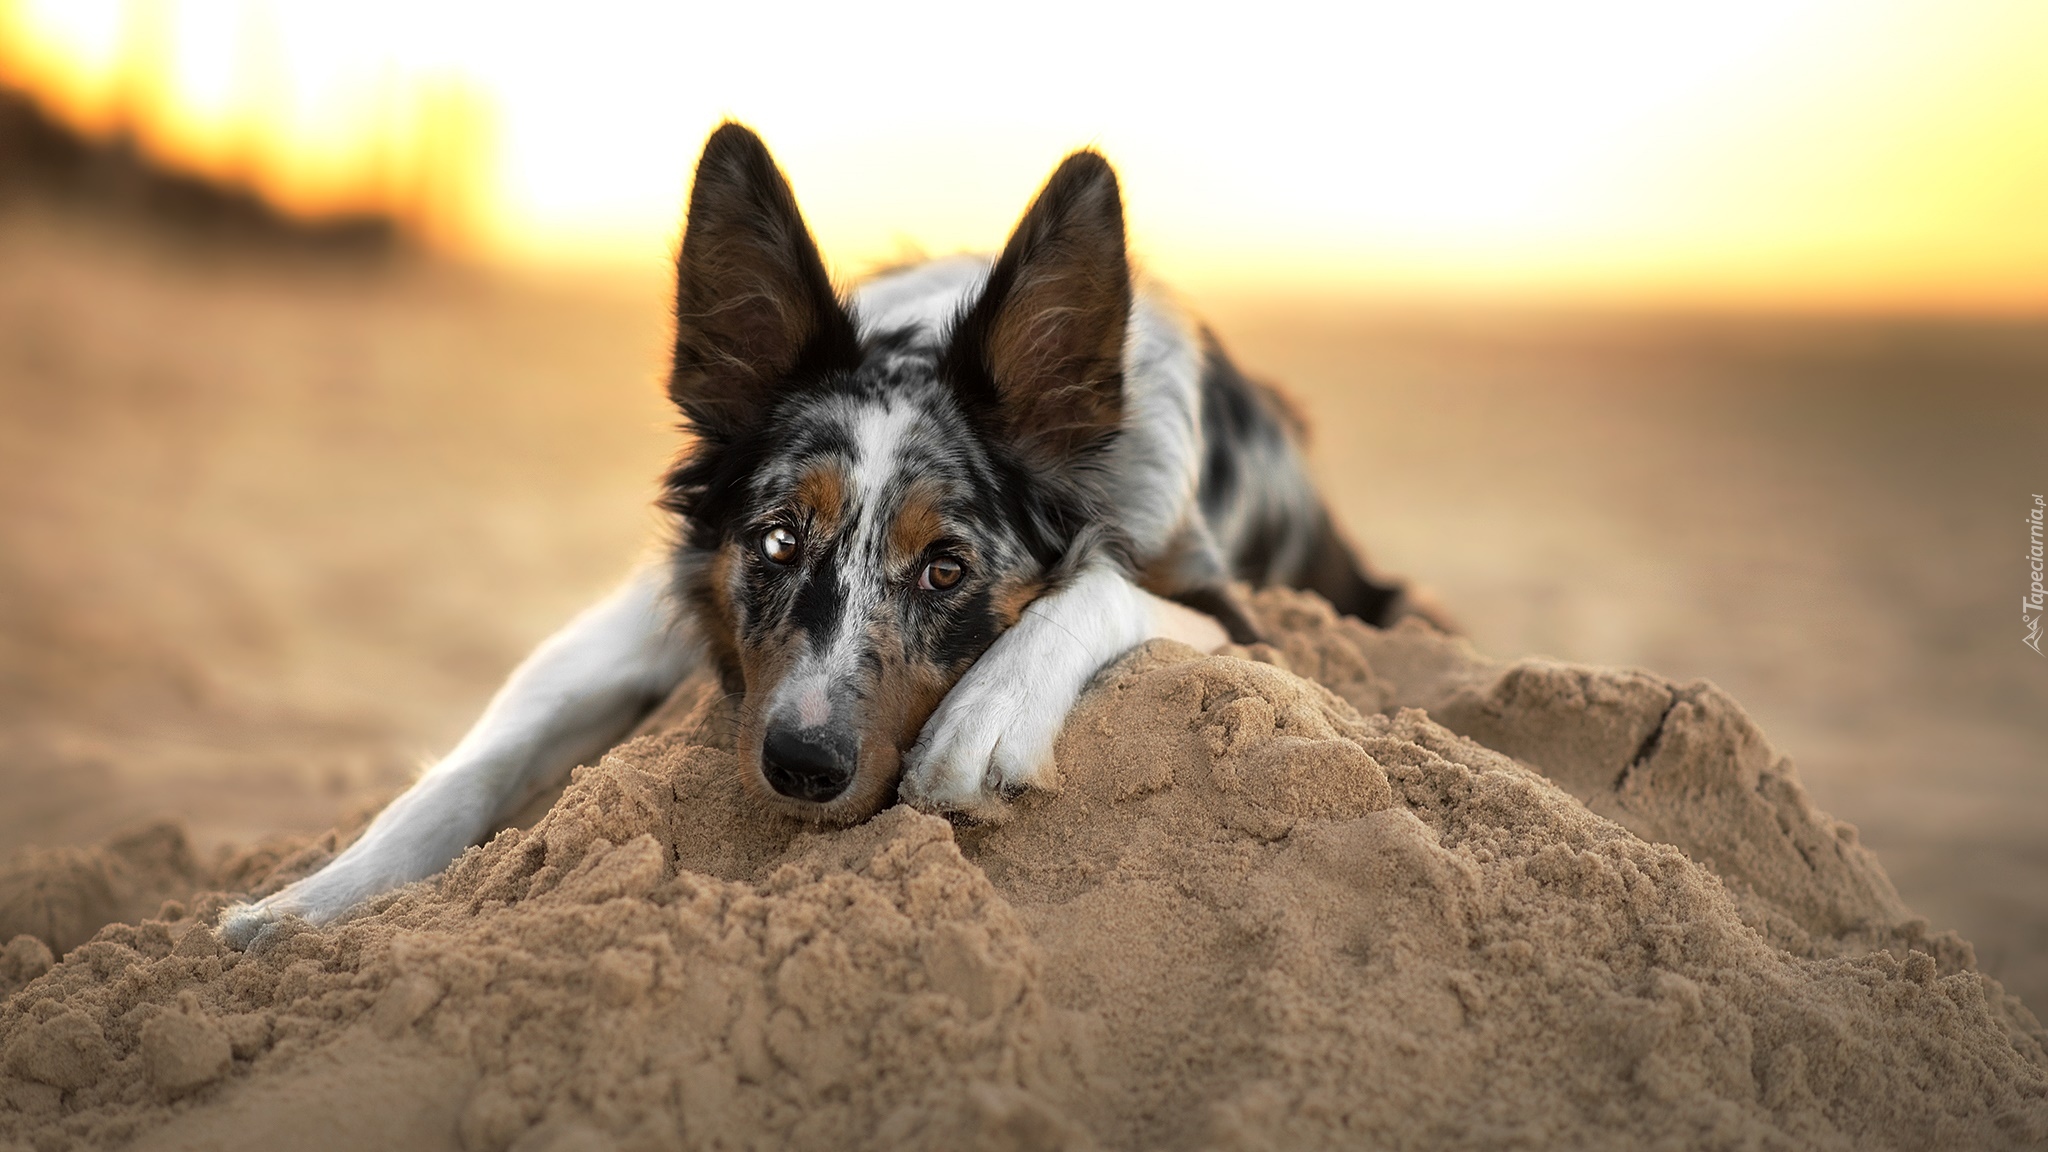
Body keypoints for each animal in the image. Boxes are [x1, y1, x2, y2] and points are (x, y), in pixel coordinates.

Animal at [216, 125, 1433, 947]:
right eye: (773, 544)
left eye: (947, 568)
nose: (804, 767)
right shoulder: (649, 610)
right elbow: (486, 754)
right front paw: (308, 904)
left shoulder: (1240, 608)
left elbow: (1095, 590)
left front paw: (985, 717)